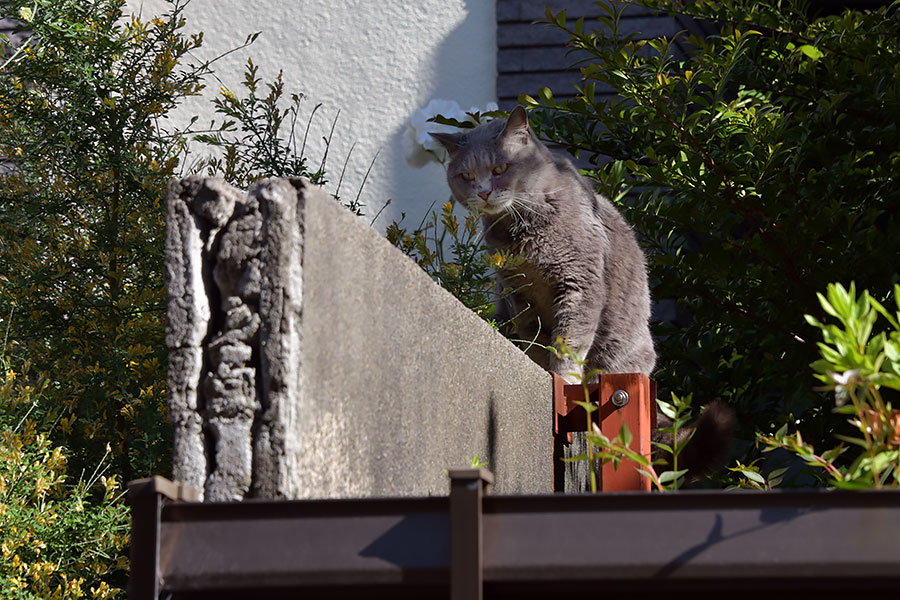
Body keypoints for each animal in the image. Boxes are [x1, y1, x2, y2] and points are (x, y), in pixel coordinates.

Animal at [428, 105, 732, 476]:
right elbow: (536, 340)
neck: (523, 230)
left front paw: (562, 376)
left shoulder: (579, 283)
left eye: (500, 168)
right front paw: (543, 369)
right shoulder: (518, 293)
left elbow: (568, 342)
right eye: (466, 175)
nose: (483, 191)